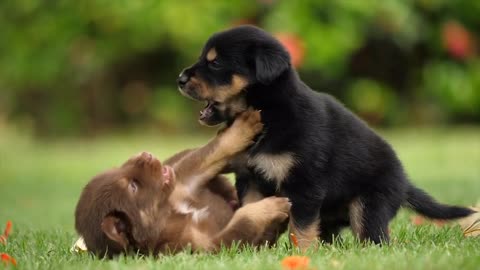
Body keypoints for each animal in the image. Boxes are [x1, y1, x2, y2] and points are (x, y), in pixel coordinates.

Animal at [73, 110, 290, 258]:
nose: (146, 154)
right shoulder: (204, 247)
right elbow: (242, 223)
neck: (169, 213)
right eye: (133, 187)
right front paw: (271, 207)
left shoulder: (184, 181)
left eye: (119, 168)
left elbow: (210, 152)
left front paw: (244, 124)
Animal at [177, 25, 476, 249]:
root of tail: (404, 182)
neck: (270, 114)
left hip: (370, 205)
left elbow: (300, 229)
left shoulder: (304, 184)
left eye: (215, 63)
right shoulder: (250, 179)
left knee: (374, 238)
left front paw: (302, 255)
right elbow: (252, 211)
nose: (179, 79)